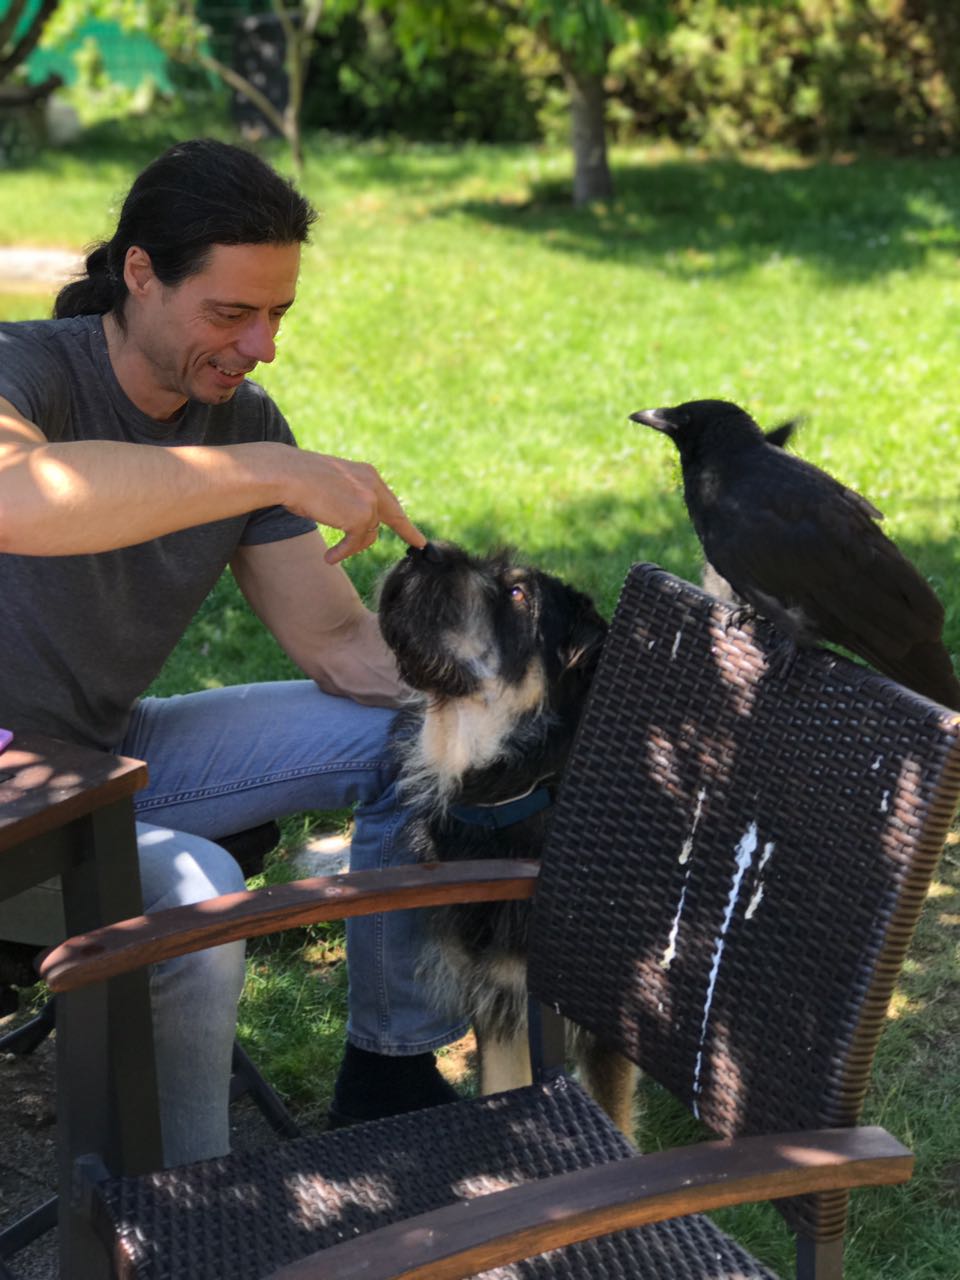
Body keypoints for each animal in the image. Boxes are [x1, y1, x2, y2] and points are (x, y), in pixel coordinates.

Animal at [378, 540, 637, 1133]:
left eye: (518, 593)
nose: (422, 550)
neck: (519, 788)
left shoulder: (600, 1022)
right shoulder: (499, 998)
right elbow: (500, 1088)